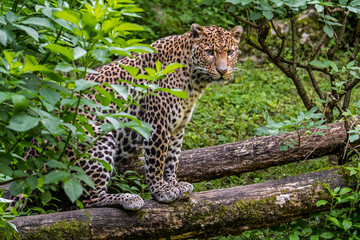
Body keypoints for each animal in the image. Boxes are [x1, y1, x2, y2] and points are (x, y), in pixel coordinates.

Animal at [22, 23, 243, 209]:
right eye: (209, 52)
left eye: (230, 52)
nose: (223, 71)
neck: (195, 82)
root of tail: (36, 144)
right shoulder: (158, 124)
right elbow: (156, 161)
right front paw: (161, 191)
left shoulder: (178, 128)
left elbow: (172, 159)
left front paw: (174, 184)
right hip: (98, 138)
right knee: (85, 199)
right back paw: (129, 199)